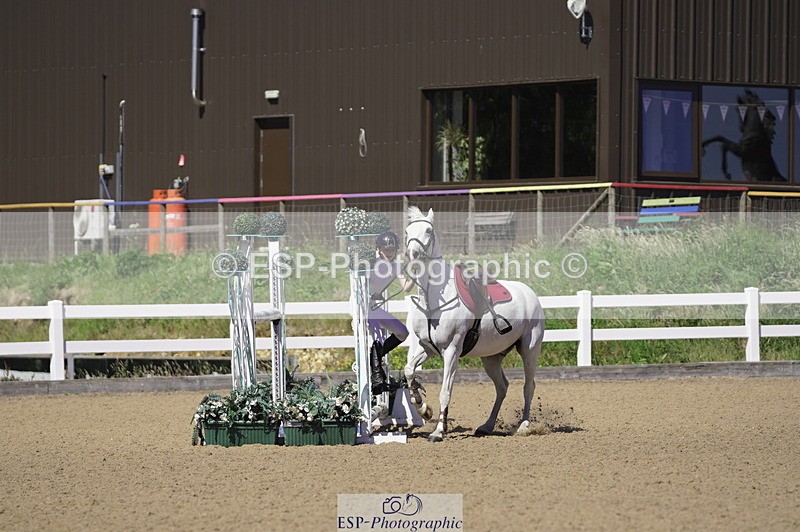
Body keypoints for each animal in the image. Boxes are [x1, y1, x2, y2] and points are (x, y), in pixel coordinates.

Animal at [402, 206, 545, 442]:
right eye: (407, 231)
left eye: (429, 230)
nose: (413, 255)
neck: (434, 299)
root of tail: (531, 294)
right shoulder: (428, 348)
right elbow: (409, 371)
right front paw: (423, 408)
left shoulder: (451, 351)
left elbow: (445, 392)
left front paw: (438, 432)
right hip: (491, 358)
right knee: (502, 387)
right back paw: (486, 426)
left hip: (529, 349)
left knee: (528, 386)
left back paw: (524, 426)